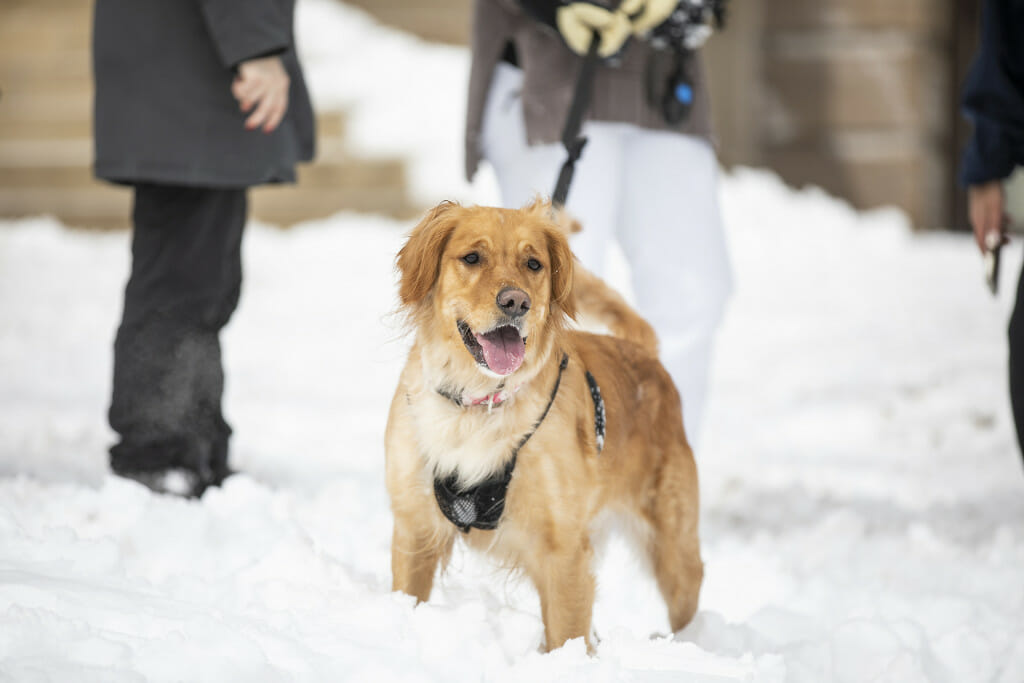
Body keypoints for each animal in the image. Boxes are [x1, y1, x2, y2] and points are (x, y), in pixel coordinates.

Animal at [385, 198, 704, 651]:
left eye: (533, 264)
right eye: (472, 257)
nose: (516, 302)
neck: (478, 403)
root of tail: (641, 351)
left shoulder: (563, 547)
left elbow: (566, 633)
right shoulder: (414, 526)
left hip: (673, 544)